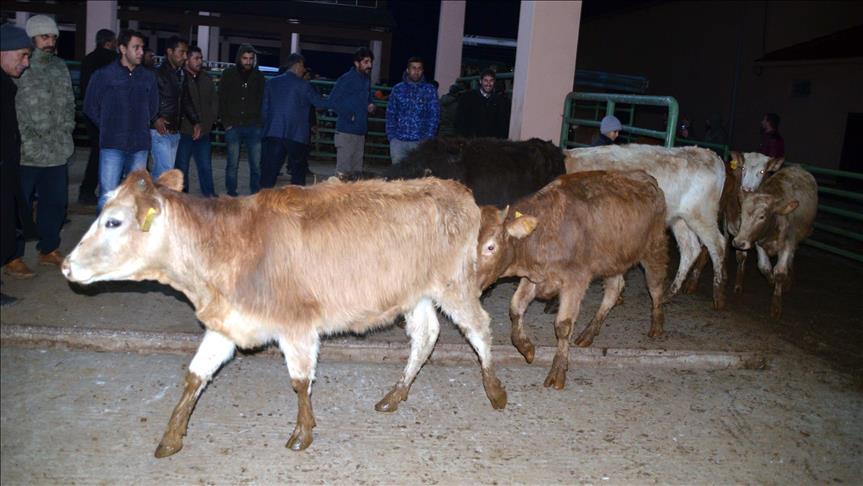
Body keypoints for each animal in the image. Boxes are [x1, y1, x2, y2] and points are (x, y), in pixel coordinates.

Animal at [61, 170, 507, 456]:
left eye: (113, 221)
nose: (66, 266)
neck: (228, 247)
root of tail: (453, 187)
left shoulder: (297, 326)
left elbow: (299, 381)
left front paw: (302, 433)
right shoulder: (227, 323)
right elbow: (195, 376)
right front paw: (171, 437)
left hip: (455, 285)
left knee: (480, 328)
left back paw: (495, 389)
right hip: (417, 295)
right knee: (426, 336)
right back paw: (395, 394)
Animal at [476, 170, 668, 389]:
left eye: (490, 246)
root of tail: (645, 176)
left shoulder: (576, 280)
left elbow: (563, 325)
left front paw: (558, 370)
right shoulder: (534, 277)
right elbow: (516, 307)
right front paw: (526, 348)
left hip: (654, 247)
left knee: (655, 286)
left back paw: (657, 325)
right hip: (613, 261)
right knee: (614, 290)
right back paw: (589, 333)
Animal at [565, 144, 727, 310]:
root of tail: (709, 154)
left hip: (702, 215)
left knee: (718, 245)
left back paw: (718, 296)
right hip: (680, 219)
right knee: (690, 248)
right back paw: (668, 294)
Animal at [732, 165, 817, 319]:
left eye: (762, 216)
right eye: (742, 214)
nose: (738, 243)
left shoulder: (788, 243)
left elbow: (780, 272)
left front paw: (776, 306)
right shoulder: (758, 242)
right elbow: (764, 267)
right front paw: (771, 281)